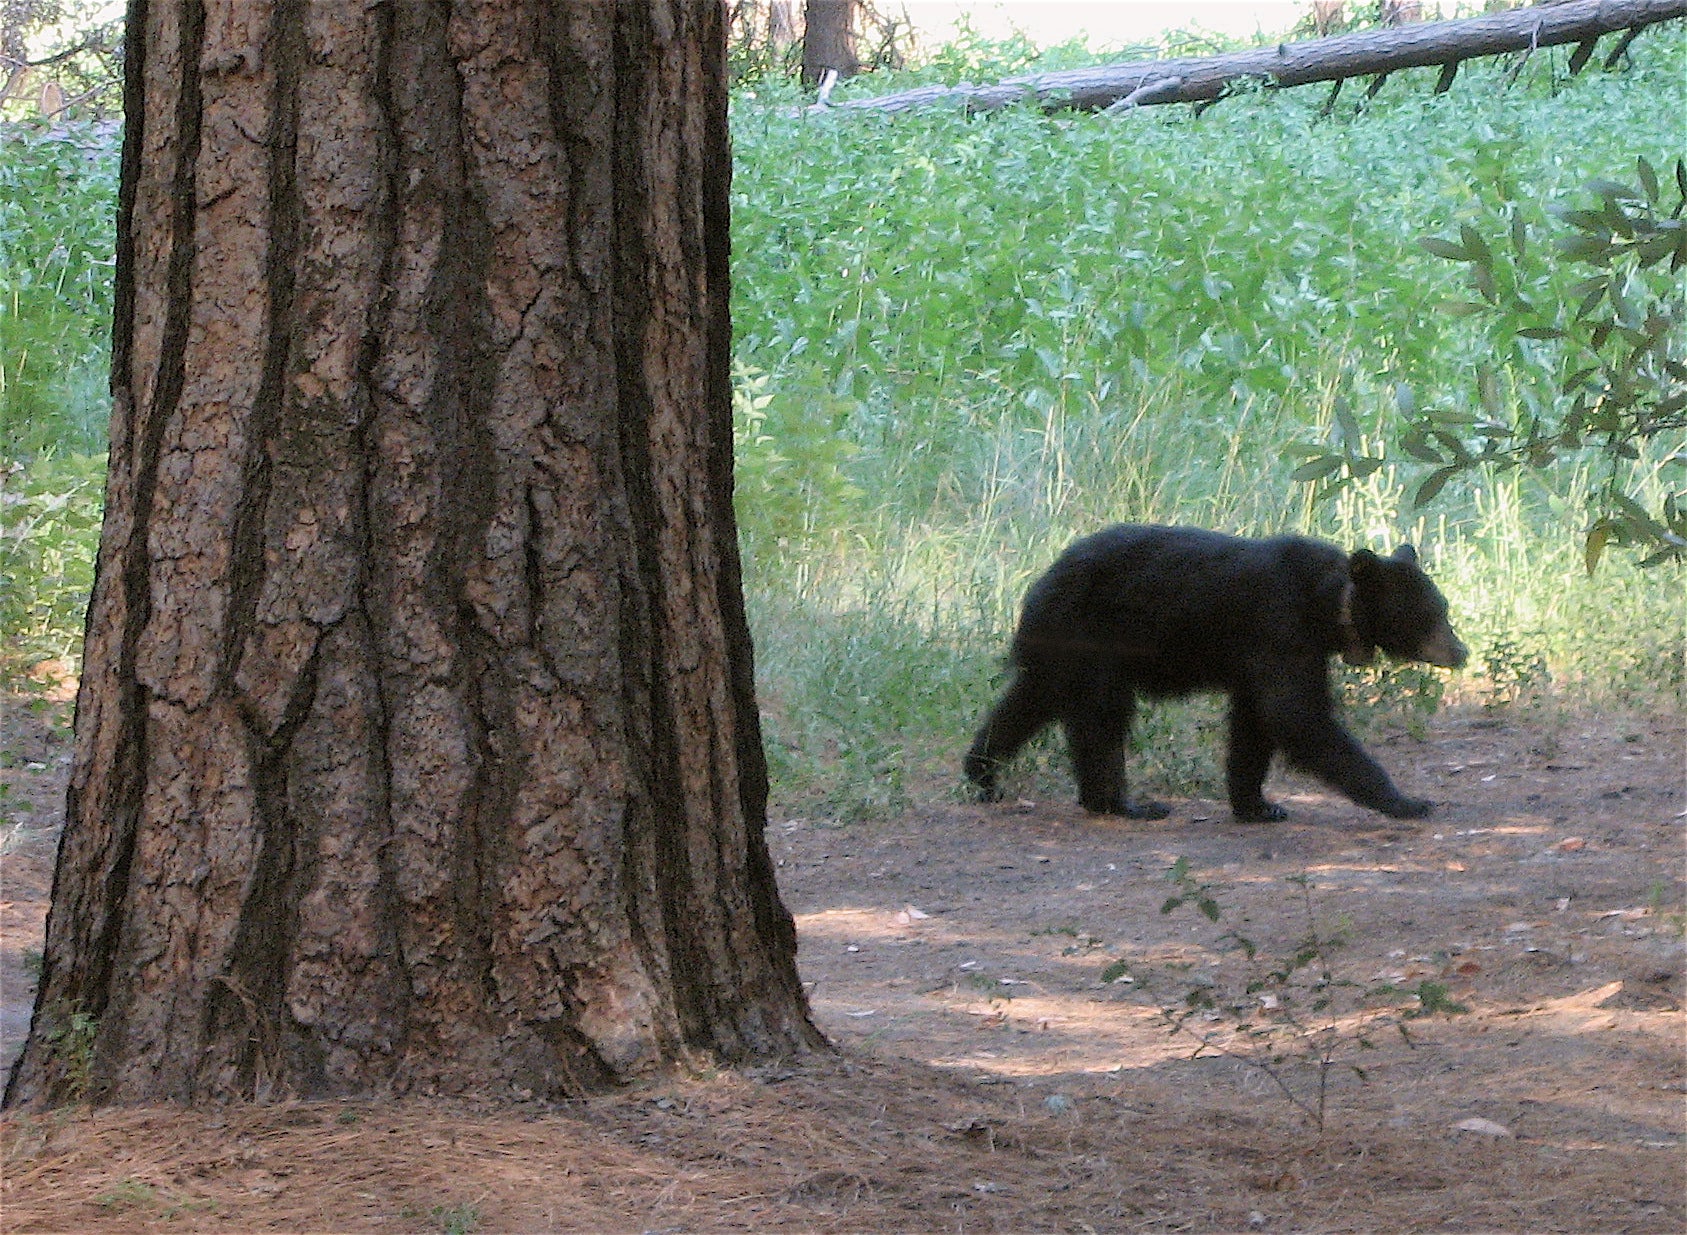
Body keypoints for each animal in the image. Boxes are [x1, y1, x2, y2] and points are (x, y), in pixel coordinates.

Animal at [971, 519, 1471, 819]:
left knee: (1030, 702)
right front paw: (1406, 800)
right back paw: (1120, 802)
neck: (1330, 603)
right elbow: (1296, 715)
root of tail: (1038, 587)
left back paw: (983, 773)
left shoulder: (1267, 652)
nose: (1461, 651)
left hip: (1061, 648)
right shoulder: (1278, 625)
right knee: (1102, 717)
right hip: (1091, 636)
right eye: (1434, 613)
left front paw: (1257, 805)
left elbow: (1255, 721)